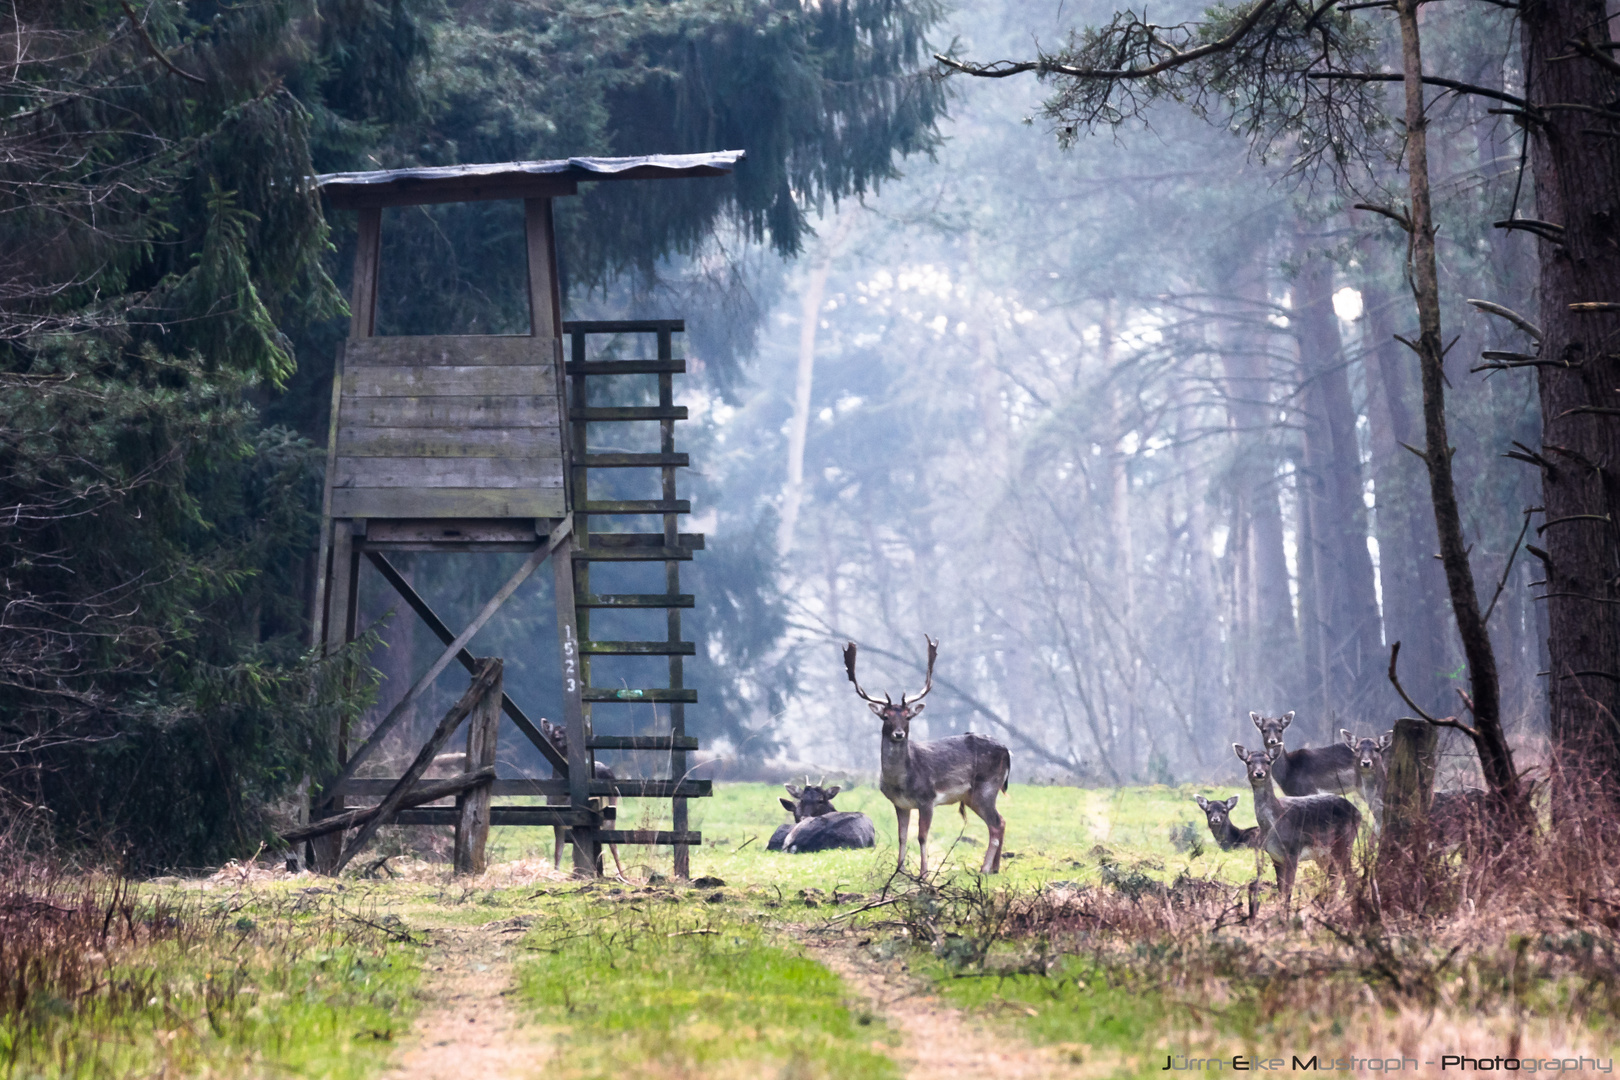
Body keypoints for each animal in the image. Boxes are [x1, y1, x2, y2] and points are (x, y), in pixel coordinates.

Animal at [541, 718, 622, 880]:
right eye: (556, 737)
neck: (561, 799)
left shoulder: (578, 819)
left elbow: (575, 850)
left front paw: (577, 873)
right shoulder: (556, 819)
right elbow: (558, 851)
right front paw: (556, 873)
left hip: (611, 807)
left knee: (614, 845)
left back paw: (623, 876)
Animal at [842, 637, 1004, 874]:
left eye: (907, 716)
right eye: (886, 716)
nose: (899, 733)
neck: (901, 782)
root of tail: (1007, 751)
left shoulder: (928, 799)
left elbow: (921, 836)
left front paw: (924, 874)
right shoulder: (900, 804)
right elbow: (901, 836)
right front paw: (899, 871)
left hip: (987, 788)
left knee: (995, 824)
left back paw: (984, 869)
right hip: (972, 796)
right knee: (1001, 821)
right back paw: (995, 868)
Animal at [1231, 744, 1360, 906]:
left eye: (1268, 761)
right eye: (1249, 762)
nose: (1259, 773)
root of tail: (1358, 813)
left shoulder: (1293, 851)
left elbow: (1288, 892)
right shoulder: (1275, 856)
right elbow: (1281, 891)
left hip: (1344, 841)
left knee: (1349, 876)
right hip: (1324, 854)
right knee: (1335, 877)